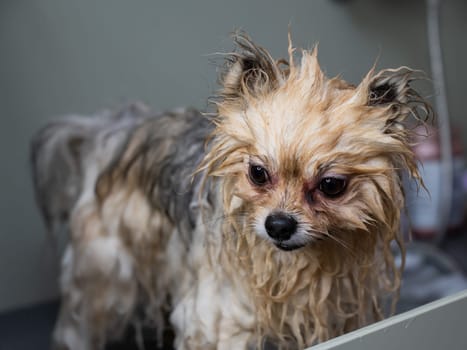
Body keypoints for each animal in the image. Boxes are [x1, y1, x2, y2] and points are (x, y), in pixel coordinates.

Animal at [31, 33, 430, 350]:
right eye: (258, 173)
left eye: (331, 186)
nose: (278, 225)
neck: (290, 269)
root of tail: (110, 127)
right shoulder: (220, 323)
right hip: (104, 274)